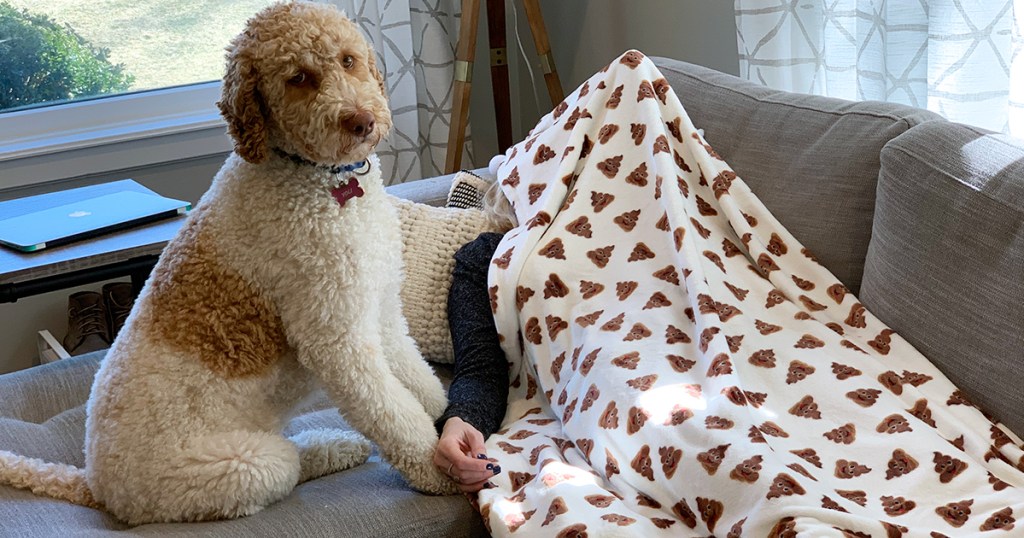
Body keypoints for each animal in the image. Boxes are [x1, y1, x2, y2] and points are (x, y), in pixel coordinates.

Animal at [0, 2, 456, 524]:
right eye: (299, 78)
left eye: (348, 60)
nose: (361, 122)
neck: (315, 178)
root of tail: (97, 486)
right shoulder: (336, 340)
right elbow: (393, 413)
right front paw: (437, 467)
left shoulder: (379, 308)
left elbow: (417, 377)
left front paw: (444, 410)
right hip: (243, 465)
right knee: (286, 464)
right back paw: (330, 450)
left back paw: (338, 447)